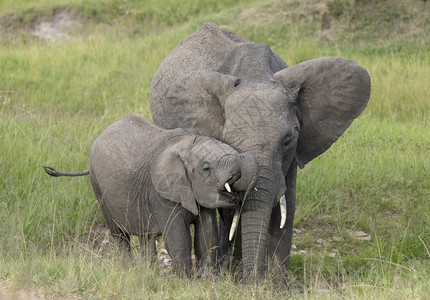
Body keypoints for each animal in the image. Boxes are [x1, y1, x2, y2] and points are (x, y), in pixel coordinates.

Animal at [43, 113, 256, 276]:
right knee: (119, 235)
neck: (188, 145)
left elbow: (207, 235)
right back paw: (128, 271)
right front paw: (188, 282)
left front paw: (206, 280)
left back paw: (149, 274)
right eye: (205, 168)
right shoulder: (161, 193)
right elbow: (178, 238)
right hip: (98, 187)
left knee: (146, 238)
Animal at [149, 22, 372, 282]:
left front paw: (276, 285)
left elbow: (287, 206)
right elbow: (233, 208)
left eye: (288, 139)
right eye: (228, 140)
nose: (253, 280)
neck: (256, 74)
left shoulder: (292, 157)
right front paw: (239, 277)